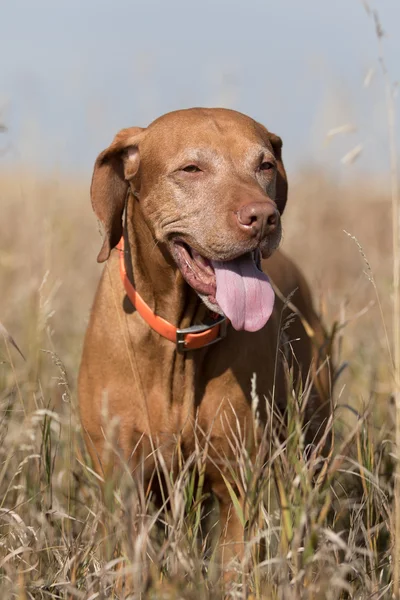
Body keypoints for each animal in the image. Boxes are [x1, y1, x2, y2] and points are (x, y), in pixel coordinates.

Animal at [78, 108, 332, 580]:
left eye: (265, 165)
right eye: (191, 169)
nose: (263, 217)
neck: (180, 339)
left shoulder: (238, 487)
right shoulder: (123, 484)